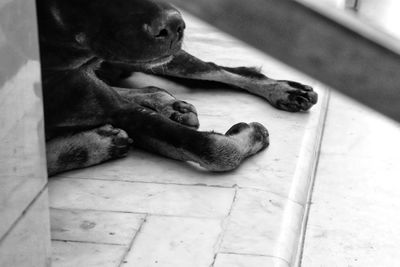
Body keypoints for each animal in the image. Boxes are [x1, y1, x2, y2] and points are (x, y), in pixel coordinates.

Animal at [37, 0, 318, 176]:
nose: (175, 24)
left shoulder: (122, 112)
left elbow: (214, 149)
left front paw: (252, 134)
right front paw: (94, 144)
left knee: (222, 69)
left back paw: (285, 91)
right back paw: (168, 104)